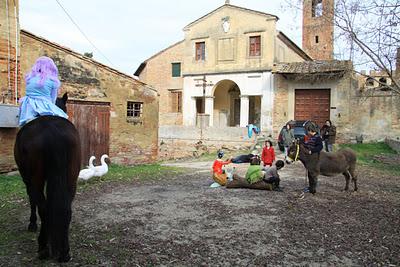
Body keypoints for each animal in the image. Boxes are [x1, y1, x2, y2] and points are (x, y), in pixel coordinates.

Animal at [13, 93, 81, 262]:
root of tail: (53, 130)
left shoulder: (26, 178)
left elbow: (32, 200)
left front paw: (32, 225)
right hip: (72, 178)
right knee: (66, 209)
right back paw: (64, 252)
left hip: (35, 178)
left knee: (43, 208)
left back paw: (43, 248)